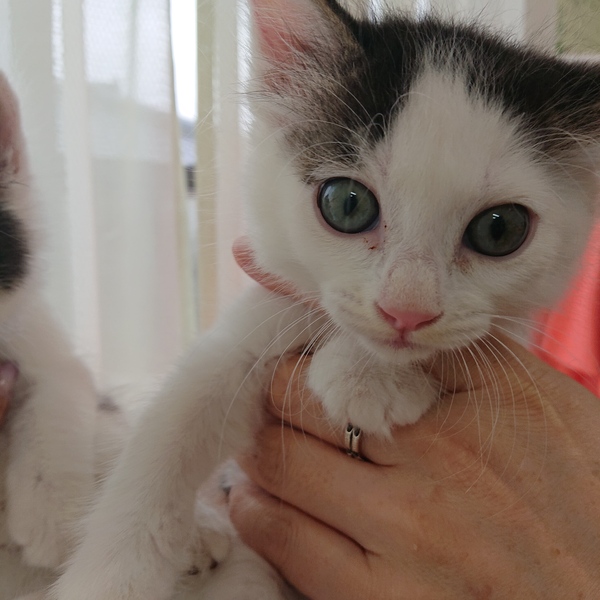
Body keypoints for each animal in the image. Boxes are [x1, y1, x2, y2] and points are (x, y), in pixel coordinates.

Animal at [52, 0, 600, 598]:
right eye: (346, 203)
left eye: (500, 229)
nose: (406, 311)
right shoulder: (255, 323)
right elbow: (171, 432)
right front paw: (113, 575)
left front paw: (367, 376)